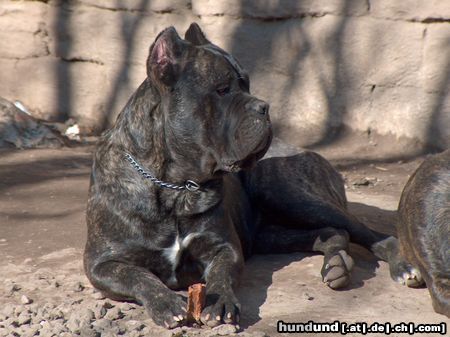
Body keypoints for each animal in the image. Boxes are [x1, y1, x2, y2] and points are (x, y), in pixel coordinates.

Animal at [83, 23, 418, 326]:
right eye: (222, 90)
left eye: (246, 85)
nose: (264, 107)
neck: (175, 185)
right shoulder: (101, 264)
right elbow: (137, 275)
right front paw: (165, 302)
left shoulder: (225, 248)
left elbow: (221, 276)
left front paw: (221, 302)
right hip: (268, 232)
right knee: (330, 233)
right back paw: (336, 264)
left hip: (291, 196)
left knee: (365, 231)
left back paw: (401, 267)